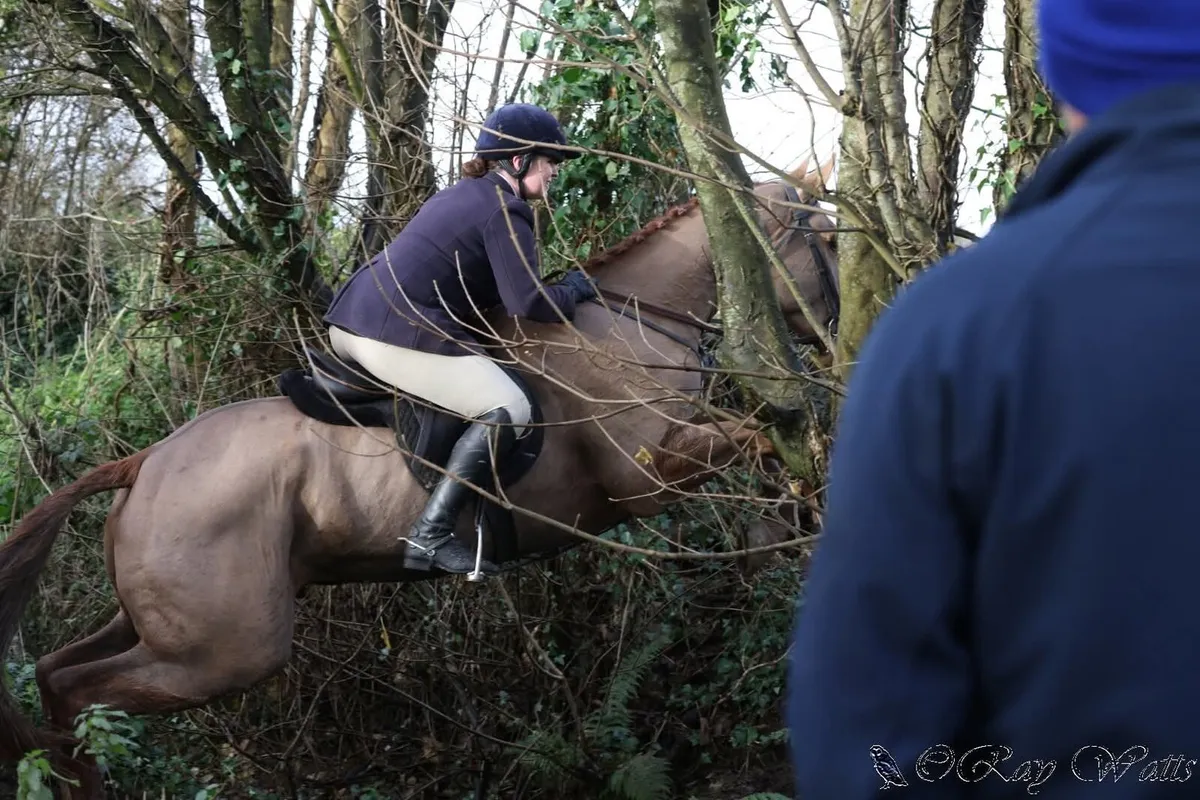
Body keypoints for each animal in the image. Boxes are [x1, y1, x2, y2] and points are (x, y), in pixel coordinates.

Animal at [0, 160, 840, 798]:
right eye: (826, 238)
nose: (833, 343)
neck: (631, 324)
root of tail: (145, 461)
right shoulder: (646, 480)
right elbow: (754, 445)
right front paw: (795, 506)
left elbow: (755, 448)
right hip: (225, 647)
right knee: (79, 691)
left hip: (163, 623)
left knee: (56, 674)